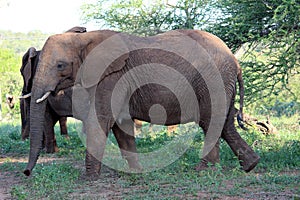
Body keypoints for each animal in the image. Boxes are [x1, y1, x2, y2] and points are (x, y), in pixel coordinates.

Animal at [24, 29, 260, 177]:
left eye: (60, 65)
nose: (26, 173)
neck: (86, 38)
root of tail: (235, 60)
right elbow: (121, 124)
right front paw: (136, 172)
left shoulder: (113, 76)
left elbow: (101, 119)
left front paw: (89, 178)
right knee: (224, 123)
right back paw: (250, 165)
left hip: (212, 80)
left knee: (211, 121)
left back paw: (203, 171)